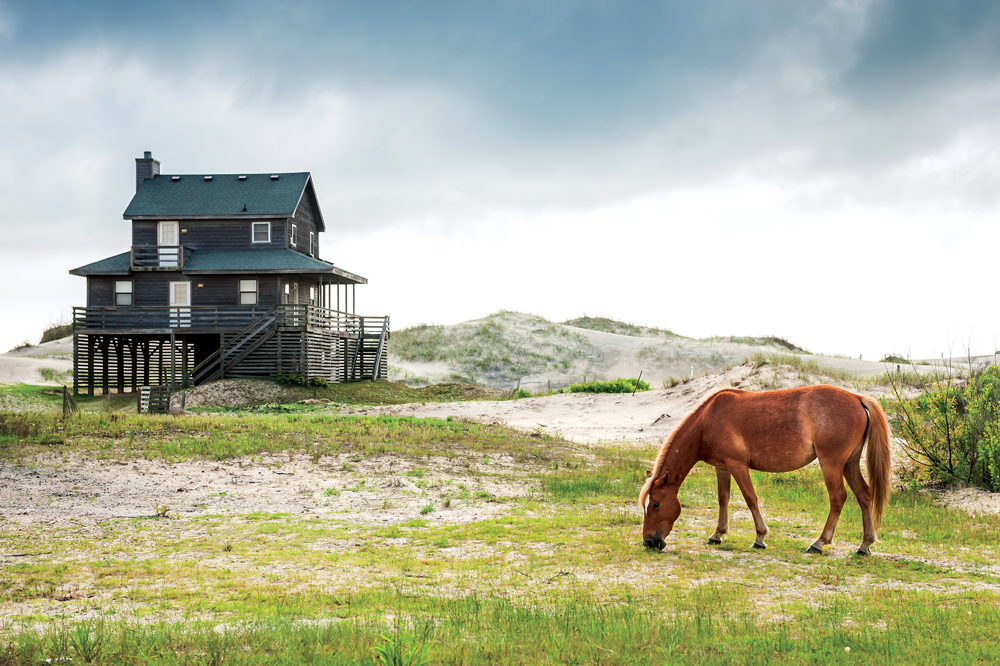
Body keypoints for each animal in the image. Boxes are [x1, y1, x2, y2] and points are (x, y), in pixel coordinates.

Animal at [640, 384, 892, 556]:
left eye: (656, 504)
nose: (649, 542)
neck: (709, 420)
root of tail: (857, 398)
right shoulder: (722, 467)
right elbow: (723, 498)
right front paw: (717, 534)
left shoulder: (737, 465)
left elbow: (750, 498)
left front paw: (760, 537)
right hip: (849, 464)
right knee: (864, 495)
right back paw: (865, 544)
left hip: (831, 464)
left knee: (838, 498)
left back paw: (819, 542)